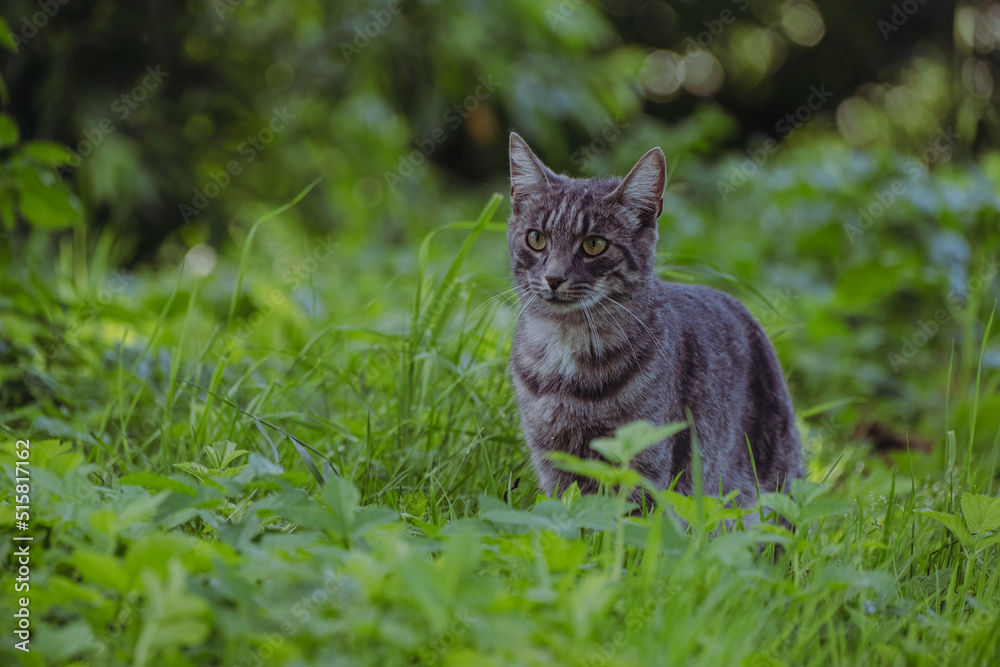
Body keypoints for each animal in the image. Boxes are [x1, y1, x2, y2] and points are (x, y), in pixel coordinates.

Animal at [508, 132, 804, 512]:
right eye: (536, 238)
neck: (566, 346)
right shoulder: (553, 459)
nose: (554, 278)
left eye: (594, 244)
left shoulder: (645, 460)